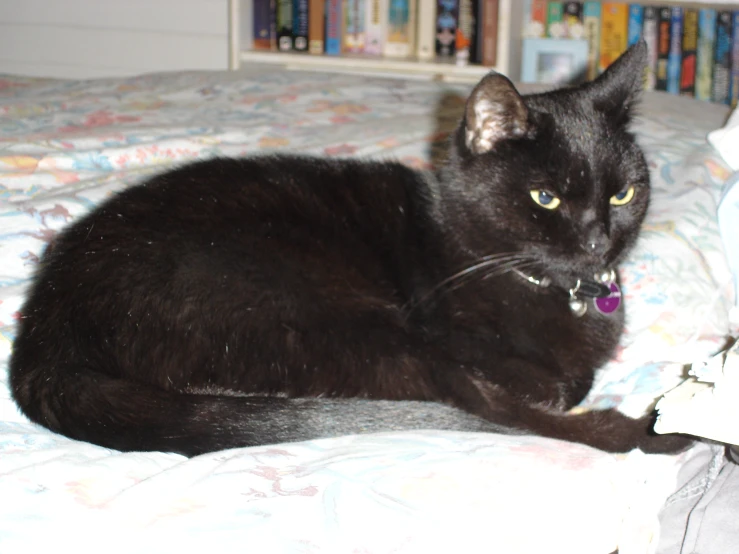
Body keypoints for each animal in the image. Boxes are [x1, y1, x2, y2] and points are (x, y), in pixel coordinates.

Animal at [8, 42, 688, 452]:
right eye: (545, 198)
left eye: (623, 193)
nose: (599, 239)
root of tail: (47, 335)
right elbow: (555, 384)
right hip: (343, 321)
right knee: (493, 411)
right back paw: (657, 429)